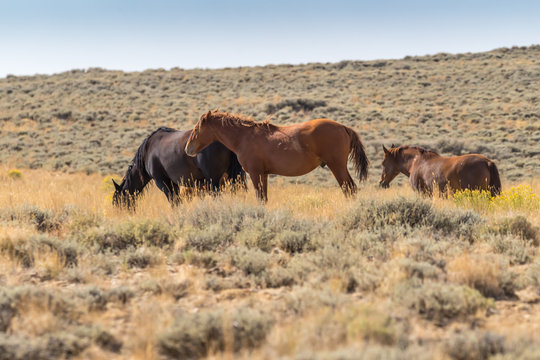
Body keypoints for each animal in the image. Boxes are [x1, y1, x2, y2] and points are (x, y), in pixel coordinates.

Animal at [112, 127, 247, 208]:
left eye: (117, 201)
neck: (147, 151)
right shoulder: (175, 184)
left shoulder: (162, 182)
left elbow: (174, 202)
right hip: (236, 177)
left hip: (213, 181)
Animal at [184, 110, 370, 200]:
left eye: (197, 129)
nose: (188, 149)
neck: (244, 136)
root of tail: (343, 127)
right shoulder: (263, 174)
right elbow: (264, 198)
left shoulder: (255, 173)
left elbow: (260, 197)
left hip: (337, 166)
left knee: (349, 189)